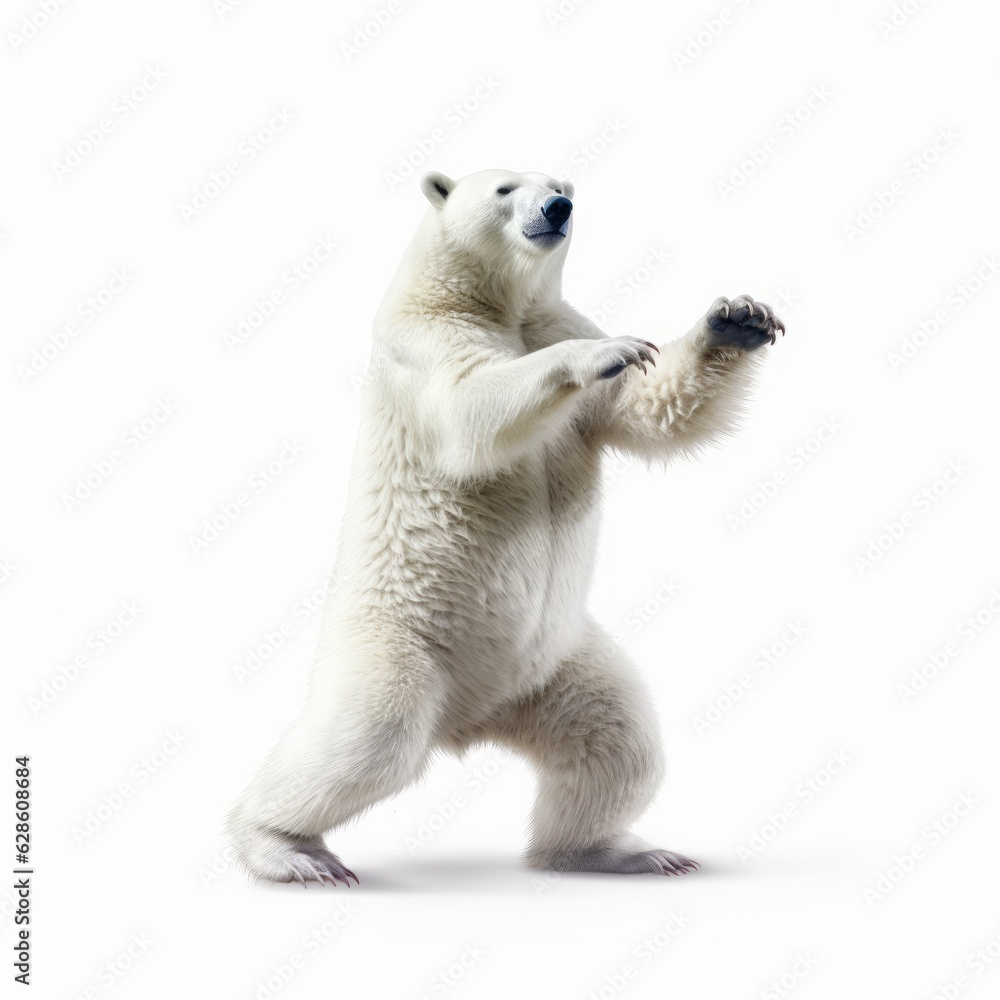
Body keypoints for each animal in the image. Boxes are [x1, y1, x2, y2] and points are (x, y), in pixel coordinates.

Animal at [225, 168, 784, 885]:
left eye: (563, 183)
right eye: (504, 188)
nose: (557, 207)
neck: (491, 299)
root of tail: (470, 720)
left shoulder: (551, 320)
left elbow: (647, 409)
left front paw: (738, 318)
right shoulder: (422, 339)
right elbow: (470, 403)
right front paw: (607, 351)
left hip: (558, 662)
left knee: (618, 743)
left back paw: (617, 852)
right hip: (397, 641)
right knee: (366, 738)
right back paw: (287, 850)